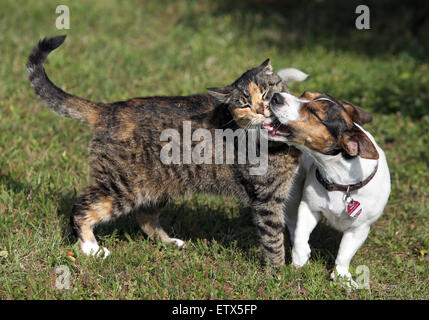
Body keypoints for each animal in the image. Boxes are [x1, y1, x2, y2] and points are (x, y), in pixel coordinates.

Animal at [27, 35, 300, 266]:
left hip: (159, 186)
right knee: (82, 209)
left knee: (144, 217)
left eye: (266, 91)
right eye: (244, 103)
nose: (261, 109)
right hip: (121, 186)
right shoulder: (267, 198)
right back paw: (92, 249)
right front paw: (278, 274)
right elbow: (273, 238)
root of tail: (108, 109)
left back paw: (170, 243)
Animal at [262, 90, 390, 288]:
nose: (276, 96)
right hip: (293, 189)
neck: (341, 181)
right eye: (304, 94)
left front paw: (342, 276)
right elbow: (301, 234)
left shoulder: (360, 228)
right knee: (291, 220)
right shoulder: (309, 207)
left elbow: (345, 254)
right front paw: (300, 260)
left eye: (314, 113)